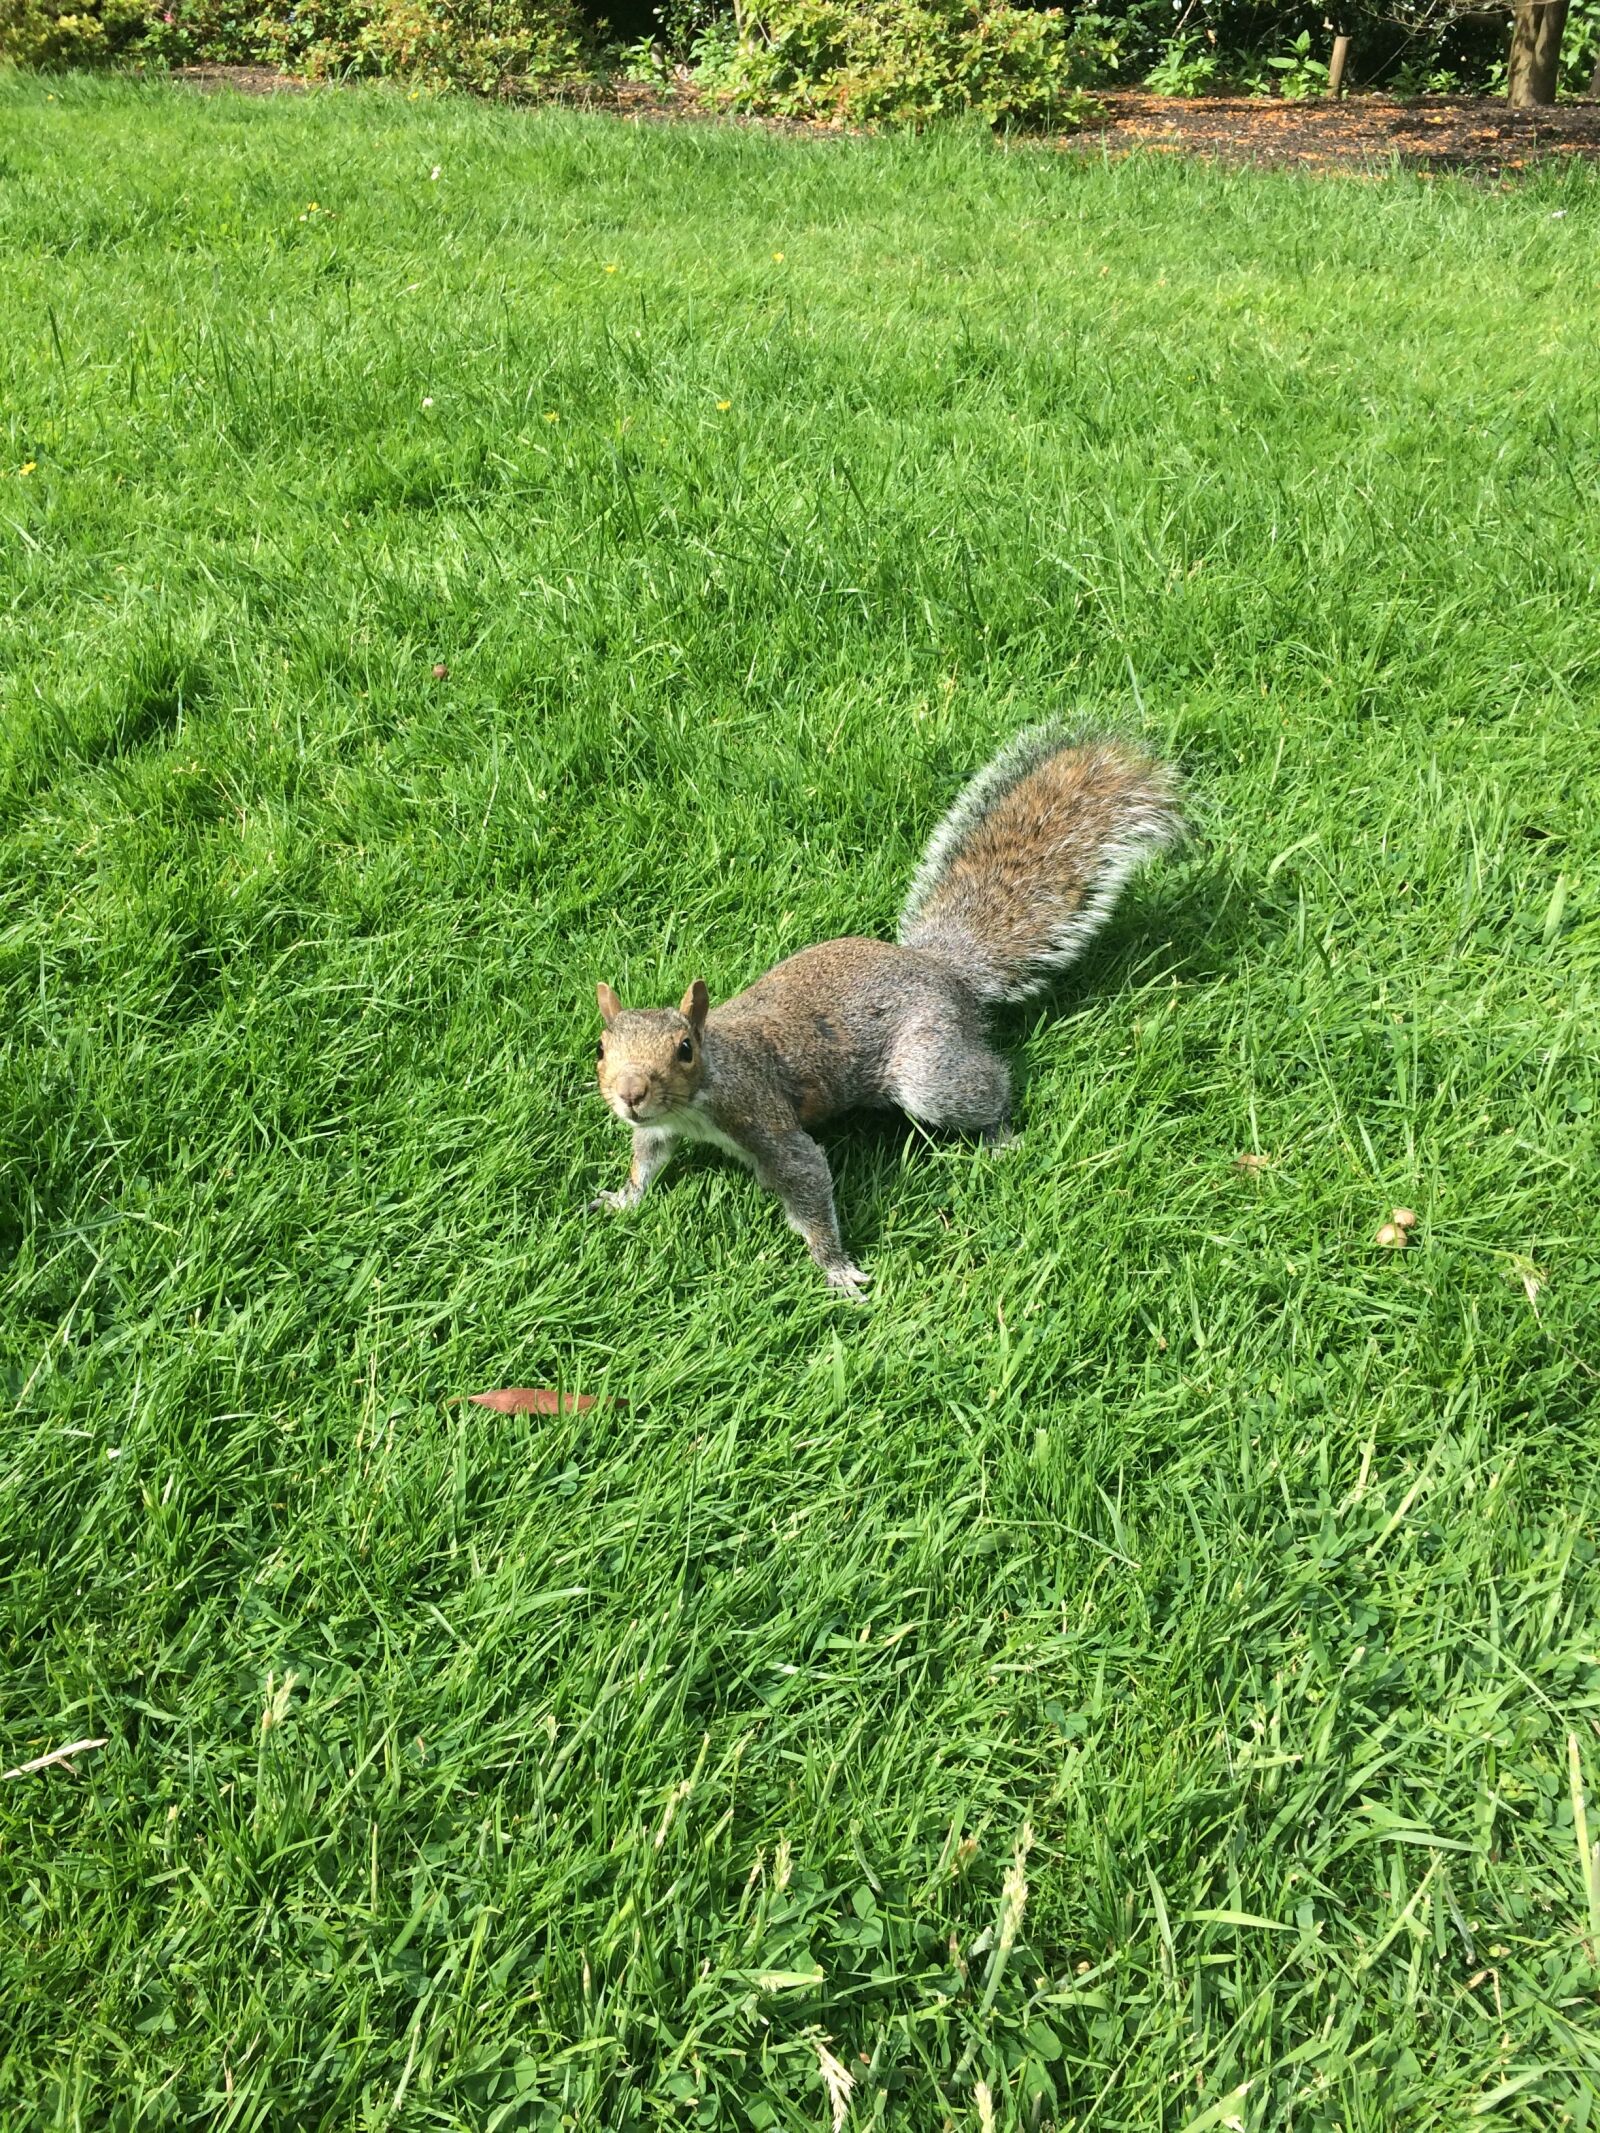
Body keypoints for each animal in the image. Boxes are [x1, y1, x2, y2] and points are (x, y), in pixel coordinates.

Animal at [591, 720, 1185, 1297]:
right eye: (600, 1048)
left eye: (684, 1049)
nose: (630, 1093)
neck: (700, 1094)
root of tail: (943, 969)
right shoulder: (658, 1129)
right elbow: (645, 1159)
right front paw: (623, 1199)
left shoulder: (761, 1116)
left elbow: (808, 1181)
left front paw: (836, 1268)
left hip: (930, 1069)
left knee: (987, 1086)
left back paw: (999, 1135)